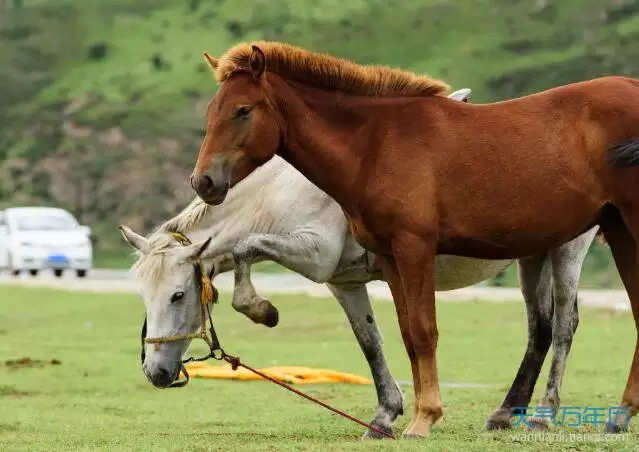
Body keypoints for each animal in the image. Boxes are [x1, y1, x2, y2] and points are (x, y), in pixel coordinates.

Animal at [192, 42, 639, 438]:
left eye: (243, 110)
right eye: (211, 111)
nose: (203, 182)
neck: (377, 144)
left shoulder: (414, 249)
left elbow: (425, 331)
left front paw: (425, 418)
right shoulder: (389, 258)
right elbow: (406, 334)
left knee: (563, 325)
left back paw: (547, 416)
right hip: (602, 237)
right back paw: (614, 416)